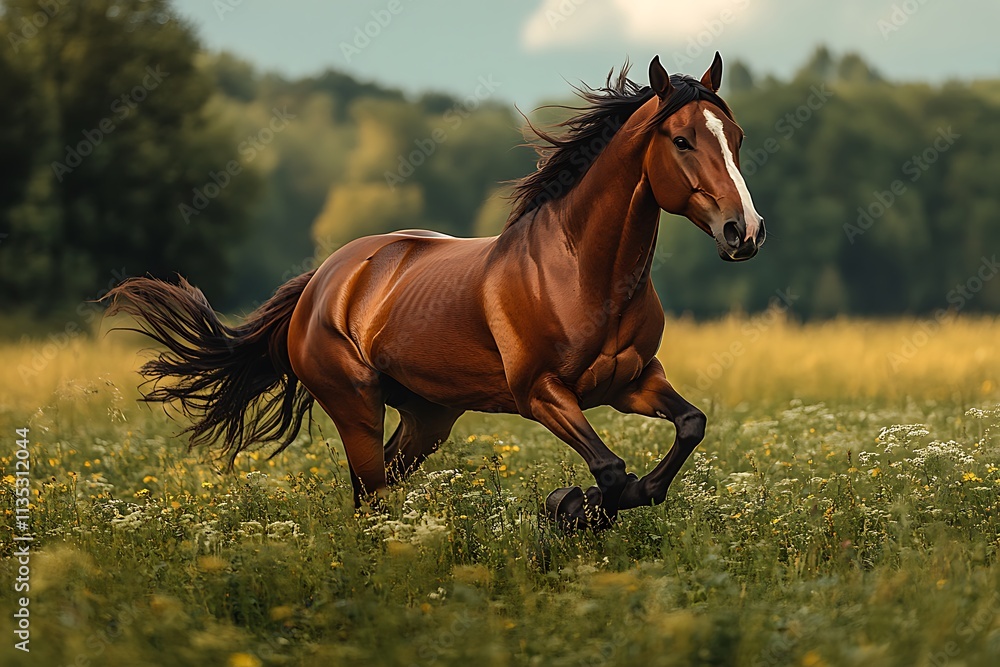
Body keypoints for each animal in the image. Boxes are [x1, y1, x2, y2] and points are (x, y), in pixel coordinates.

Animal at [106, 53, 765, 529]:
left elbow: (689, 426)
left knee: (379, 490)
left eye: (735, 135)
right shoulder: (541, 392)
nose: (746, 231)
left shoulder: (633, 382)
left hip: (428, 417)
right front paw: (572, 507)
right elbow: (610, 469)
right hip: (356, 405)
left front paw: (597, 503)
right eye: (681, 140)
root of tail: (323, 282)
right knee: (370, 494)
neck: (586, 274)